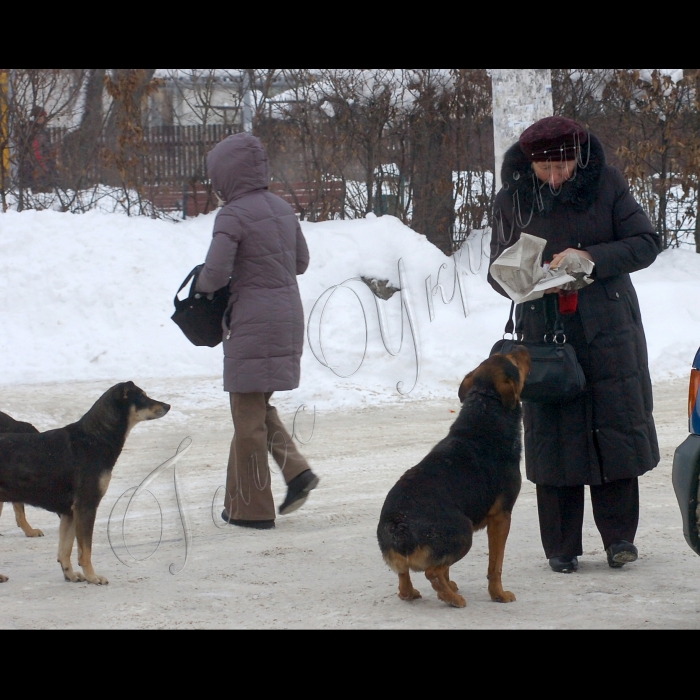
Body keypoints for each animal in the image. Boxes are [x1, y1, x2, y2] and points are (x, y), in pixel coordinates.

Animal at [378, 350, 532, 608]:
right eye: (513, 360)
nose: (523, 346)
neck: (485, 406)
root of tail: (399, 526)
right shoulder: (501, 516)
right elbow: (495, 566)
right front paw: (498, 594)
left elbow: (448, 569)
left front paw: (450, 584)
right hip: (464, 532)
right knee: (431, 571)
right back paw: (451, 599)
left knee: (405, 578)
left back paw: (423, 592)